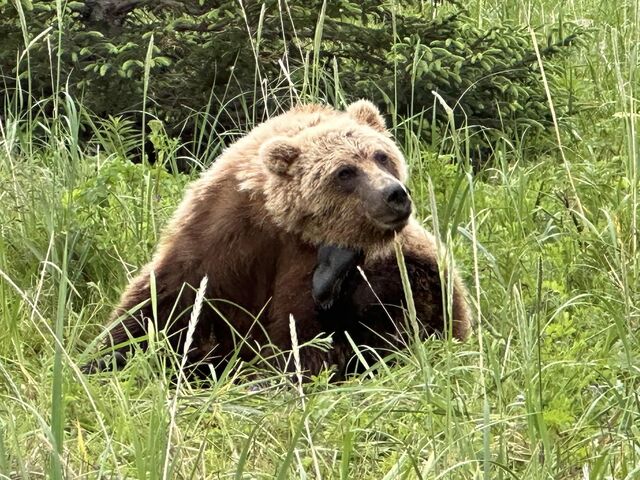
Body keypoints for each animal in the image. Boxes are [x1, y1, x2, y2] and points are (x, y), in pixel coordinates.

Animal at [82, 101, 424, 376]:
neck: (275, 219)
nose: (394, 194)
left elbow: (301, 332)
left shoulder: (306, 262)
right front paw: (102, 359)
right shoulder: (221, 234)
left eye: (381, 156)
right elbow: (161, 303)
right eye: (345, 172)